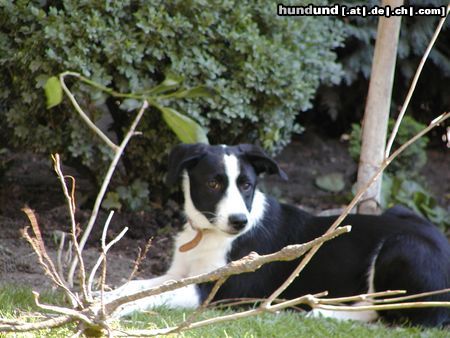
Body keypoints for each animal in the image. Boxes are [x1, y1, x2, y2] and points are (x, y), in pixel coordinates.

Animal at [106, 143, 450, 328]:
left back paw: (322, 310)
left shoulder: (215, 293)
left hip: (402, 248)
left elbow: (154, 296)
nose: (238, 221)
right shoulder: (180, 274)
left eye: (247, 185)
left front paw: (116, 309)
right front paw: (105, 297)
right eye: (213, 184)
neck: (209, 233)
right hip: (399, 210)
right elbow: (135, 286)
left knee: (388, 314)